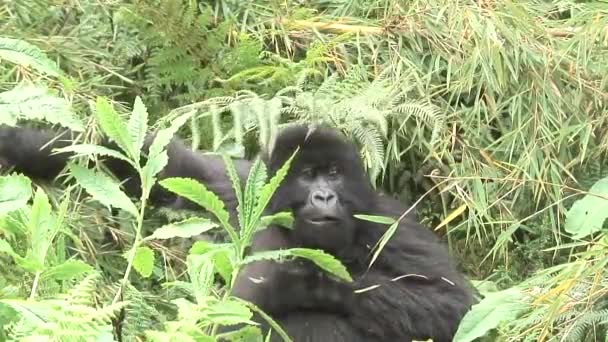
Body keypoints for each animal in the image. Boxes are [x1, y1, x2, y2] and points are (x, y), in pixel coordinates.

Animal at [0, 122, 476, 340]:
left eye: (335, 174)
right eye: (308, 175)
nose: (324, 196)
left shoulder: (390, 224)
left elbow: (450, 303)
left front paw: (296, 281)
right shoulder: (238, 188)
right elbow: (157, 165)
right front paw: (19, 146)